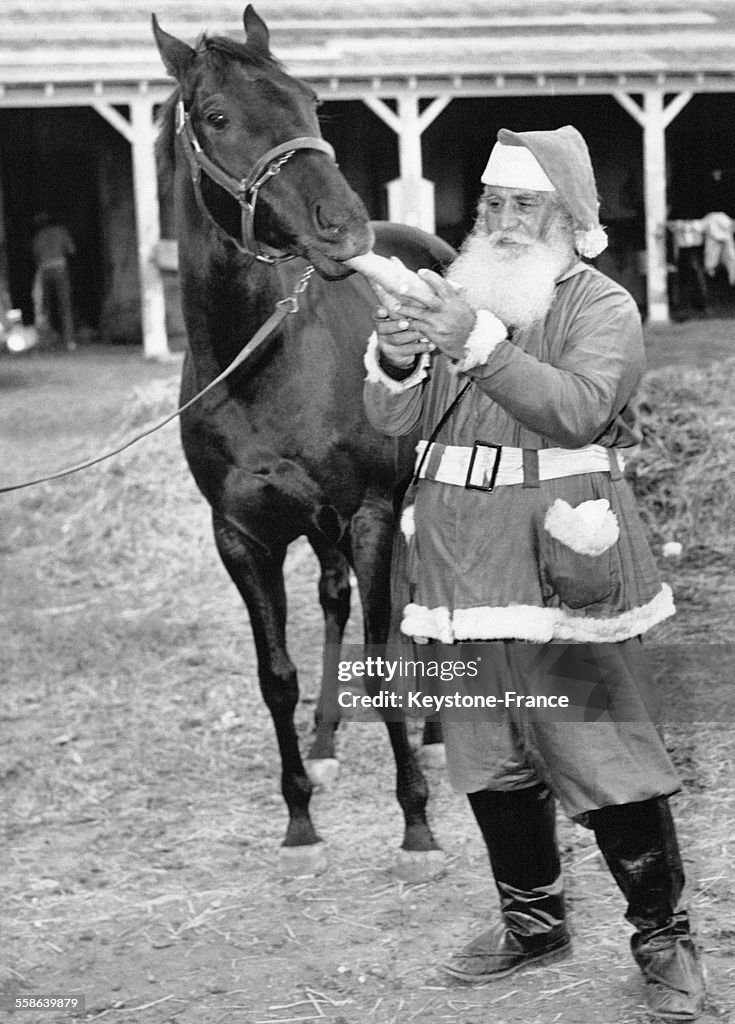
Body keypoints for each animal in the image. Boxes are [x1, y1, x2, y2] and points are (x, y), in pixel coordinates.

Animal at [153, 4, 452, 876]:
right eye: (216, 117)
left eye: (311, 101)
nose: (342, 227)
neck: (259, 363)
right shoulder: (241, 535)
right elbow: (275, 675)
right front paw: (298, 816)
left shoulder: (370, 513)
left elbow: (384, 659)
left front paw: (416, 823)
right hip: (318, 530)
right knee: (333, 601)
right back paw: (324, 745)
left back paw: (434, 735)